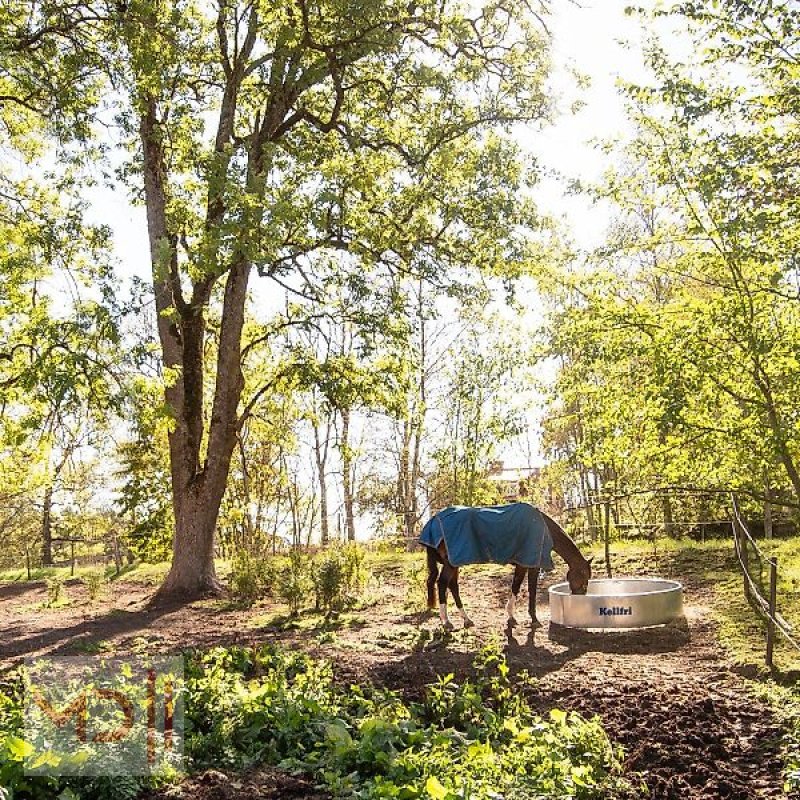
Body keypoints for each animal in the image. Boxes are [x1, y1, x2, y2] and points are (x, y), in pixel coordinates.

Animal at [422, 506, 592, 632]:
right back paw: (446, 622)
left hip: (454, 563)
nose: (580, 599)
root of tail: (433, 521)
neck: (543, 528)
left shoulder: (523, 565)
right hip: (451, 563)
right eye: (584, 579)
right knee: (442, 584)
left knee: (453, 586)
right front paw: (533, 619)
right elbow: (530, 590)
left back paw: (467, 619)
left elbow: (515, 587)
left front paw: (512, 617)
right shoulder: (530, 565)